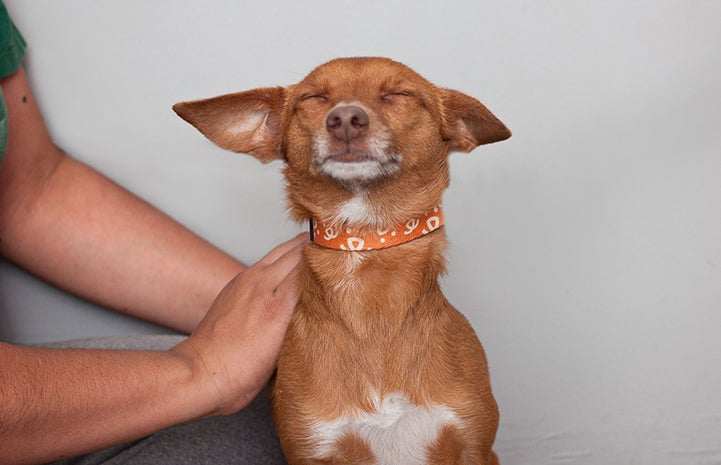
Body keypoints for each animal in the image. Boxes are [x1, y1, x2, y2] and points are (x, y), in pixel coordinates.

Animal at [174, 58, 510, 464]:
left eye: (398, 94)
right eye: (314, 98)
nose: (345, 118)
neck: (368, 252)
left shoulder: (477, 448)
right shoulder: (312, 450)